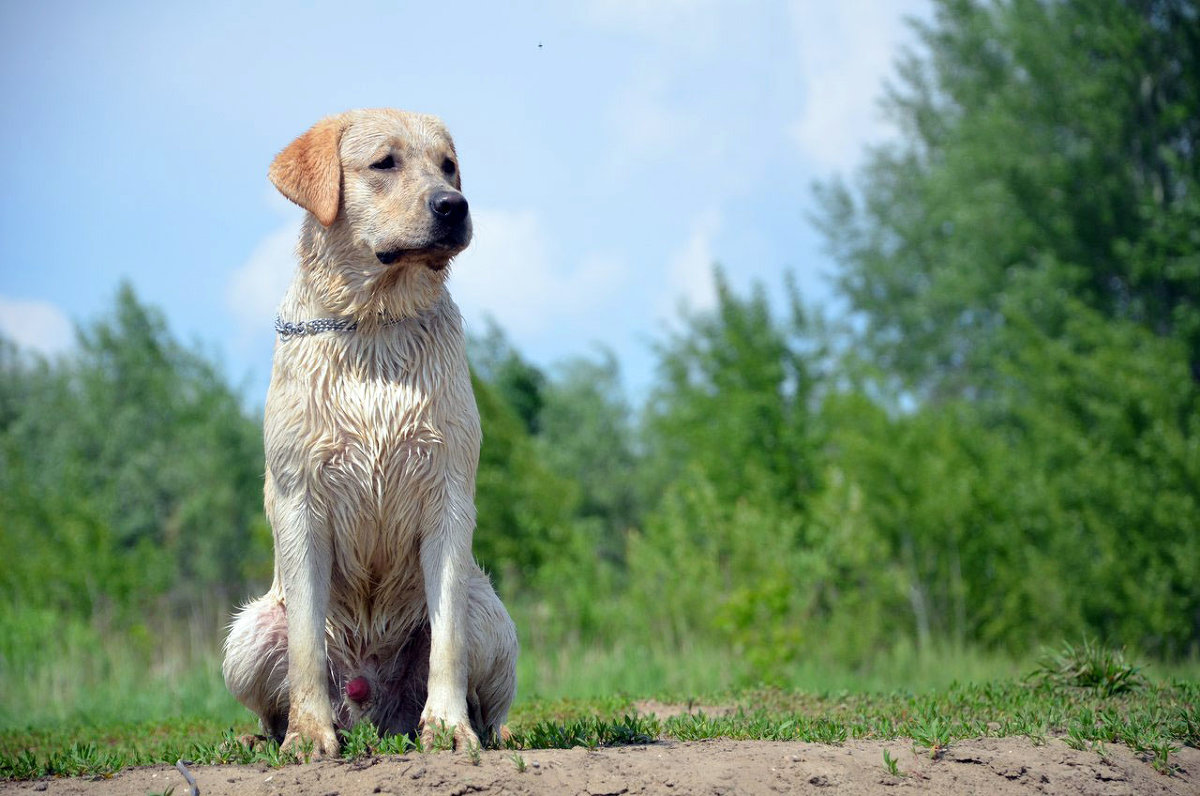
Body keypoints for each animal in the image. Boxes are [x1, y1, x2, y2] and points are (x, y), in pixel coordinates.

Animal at [223, 109, 518, 758]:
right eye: (385, 162)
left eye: (449, 167)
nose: (454, 205)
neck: (374, 324)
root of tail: (374, 716)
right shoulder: (301, 500)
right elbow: (306, 643)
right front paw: (309, 736)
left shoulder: (448, 495)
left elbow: (448, 645)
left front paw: (449, 729)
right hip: (246, 635)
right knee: (271, 693)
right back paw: (264, 738)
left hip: (489, 612)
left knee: (487, 694)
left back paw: (488, 730)